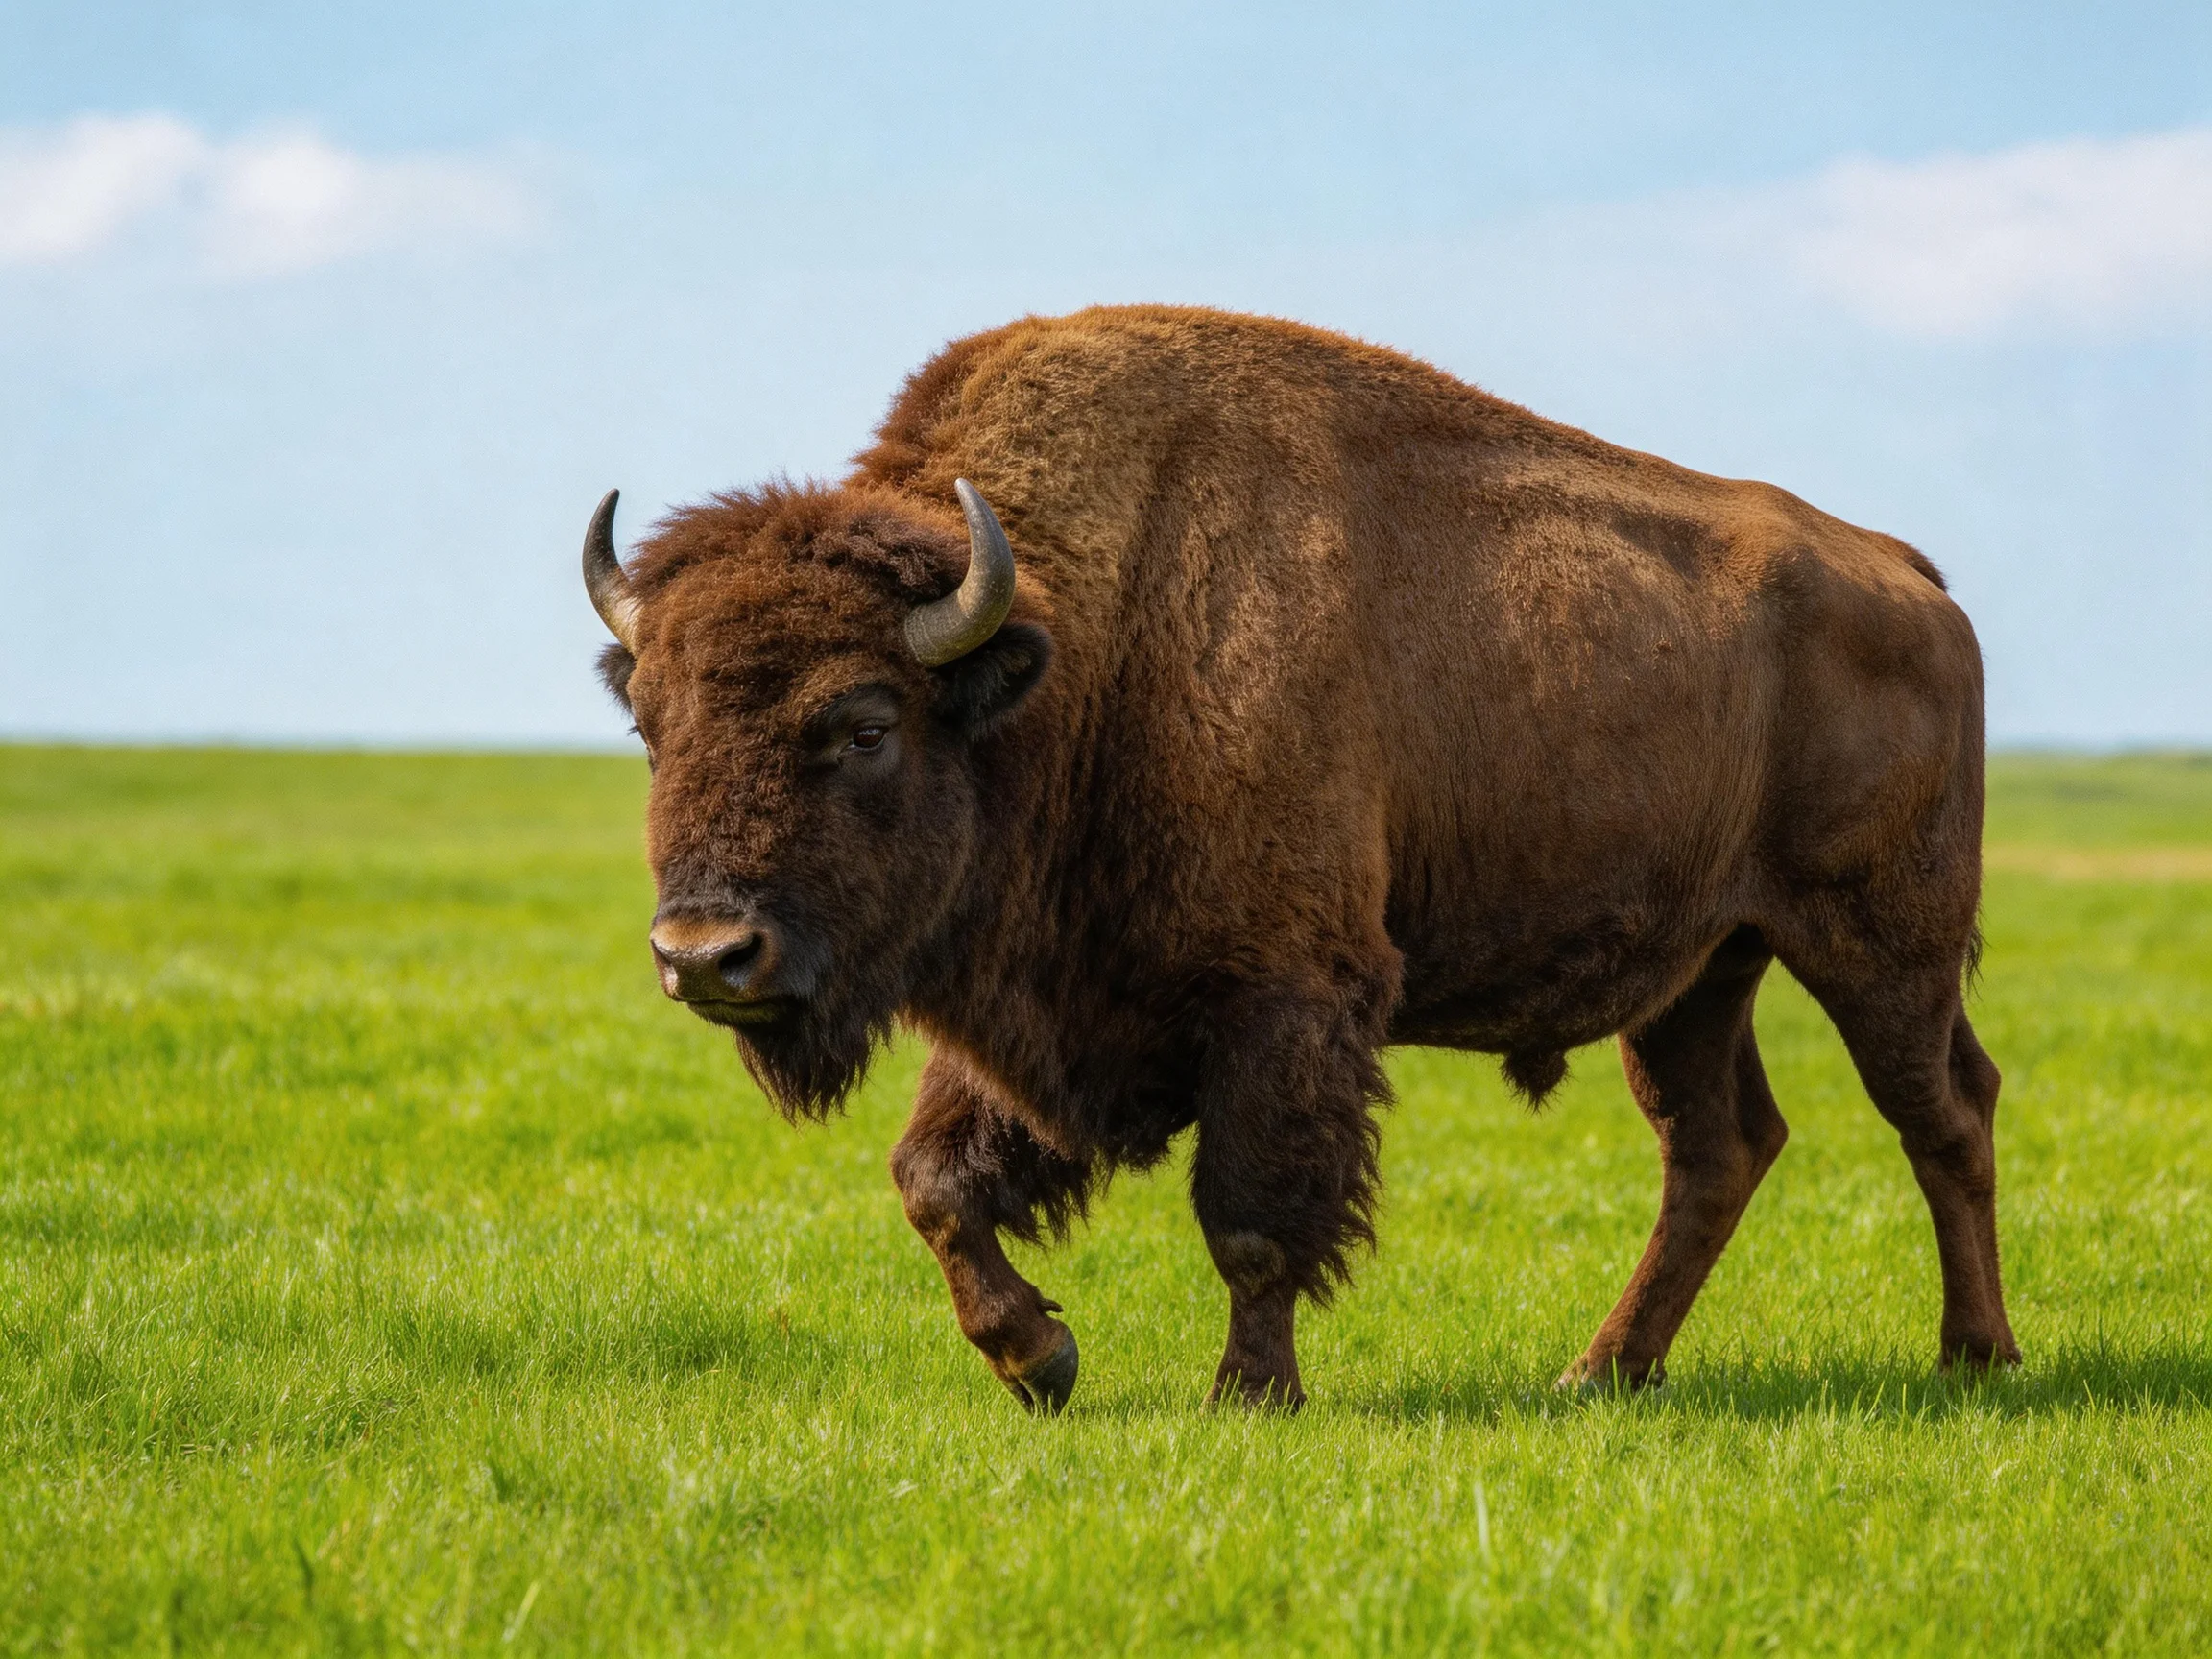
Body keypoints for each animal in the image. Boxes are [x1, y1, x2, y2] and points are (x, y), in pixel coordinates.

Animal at [582, 306, 2018, 1410]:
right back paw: (1602, 1373)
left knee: (1943, 1112)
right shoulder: (1033, 1015)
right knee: (1718, 1148)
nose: (705, 955)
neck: (1077, 646)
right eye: (648, 720)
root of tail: (1908, 577)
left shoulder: (1283, 1000)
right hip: (1700, 971)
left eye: (866, 725)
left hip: (1878, 945)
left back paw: (1975, 1357)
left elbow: (1253, 1220)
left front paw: (1248, 1393)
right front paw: (1040, 1360)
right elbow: (935, 1179)